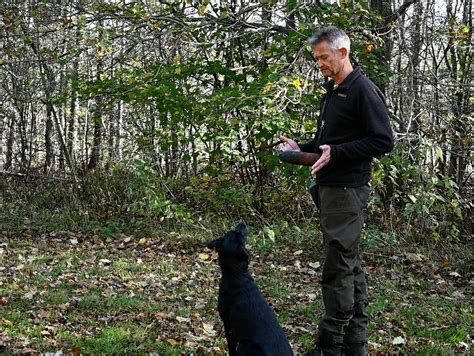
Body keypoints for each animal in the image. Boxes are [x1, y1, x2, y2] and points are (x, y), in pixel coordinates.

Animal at [206, 222, 292, 356]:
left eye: (236, 233)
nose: (243, 223)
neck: (238, 274)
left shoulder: (228, 325)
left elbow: (231, 349)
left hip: (245, 344)